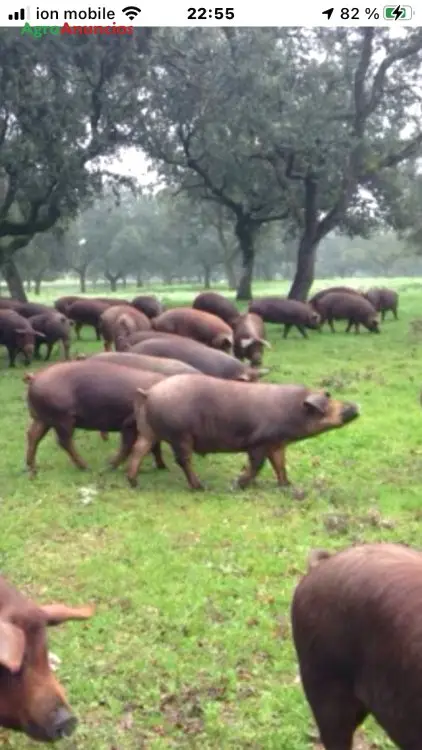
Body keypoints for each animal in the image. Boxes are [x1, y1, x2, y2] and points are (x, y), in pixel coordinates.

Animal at [24, 358, 166, 476]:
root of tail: (35, 377)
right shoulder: (129, 422)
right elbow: (129, 445)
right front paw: (109, 466)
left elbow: (154, 447)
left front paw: (162, 467)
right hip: (62, 417)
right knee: (64, 441)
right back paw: (86, 467)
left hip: (42, 418)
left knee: (33, 435)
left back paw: (32, 468)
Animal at [129, 374, 360, 490]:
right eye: (328, 400)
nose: (355, 406)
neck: (291, 410)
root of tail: (149, 392)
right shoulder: (259, 442)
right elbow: (258, 465)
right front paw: (238, 485)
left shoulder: (277, 443)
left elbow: (280, 464)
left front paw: (287, 485)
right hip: (180, 435)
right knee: (183, 460)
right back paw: (200, 486)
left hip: (148, 431)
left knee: (139, 449)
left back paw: (133, 482)